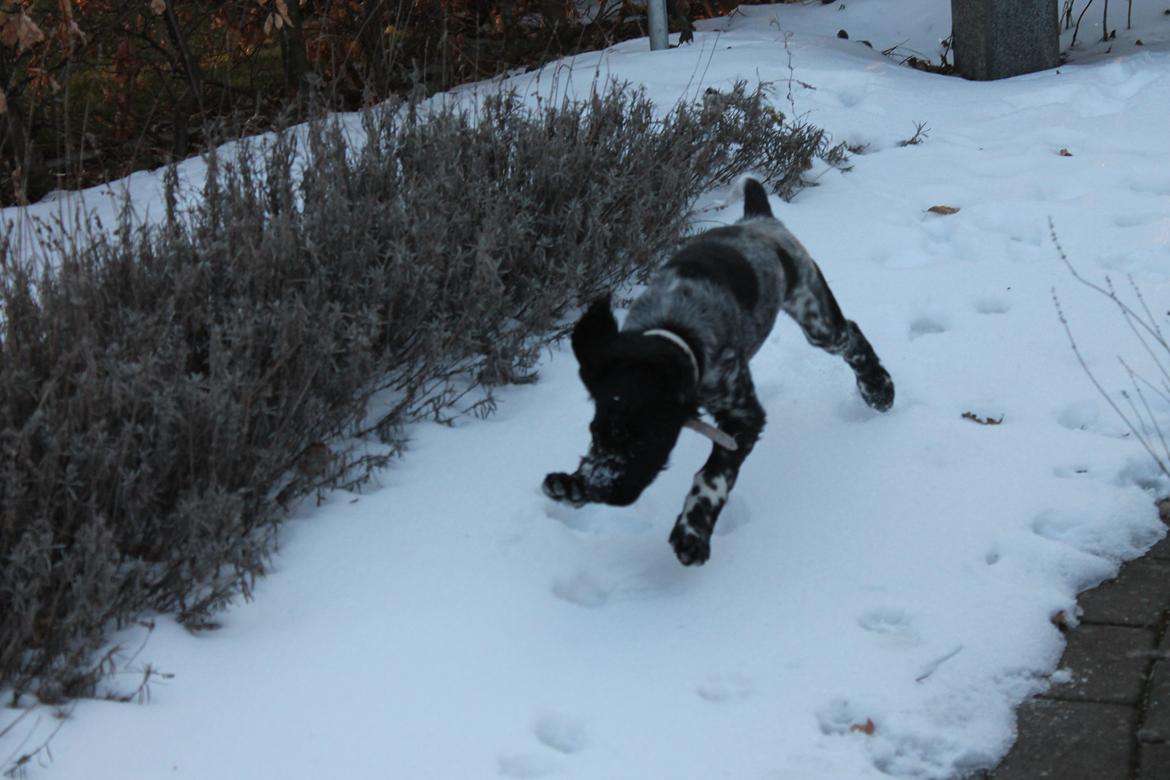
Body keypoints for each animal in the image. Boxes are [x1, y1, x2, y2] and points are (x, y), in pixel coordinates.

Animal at [540, 178, 893, 563]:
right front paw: (574, 485)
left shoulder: (743, 416)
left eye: (646, 439)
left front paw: (692, 531)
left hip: (815, 315)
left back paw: (878, 388)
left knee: (851, 336)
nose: (601, 489)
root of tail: (758, 219)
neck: (673, 331)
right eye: (596, 432)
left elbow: (712, 476)